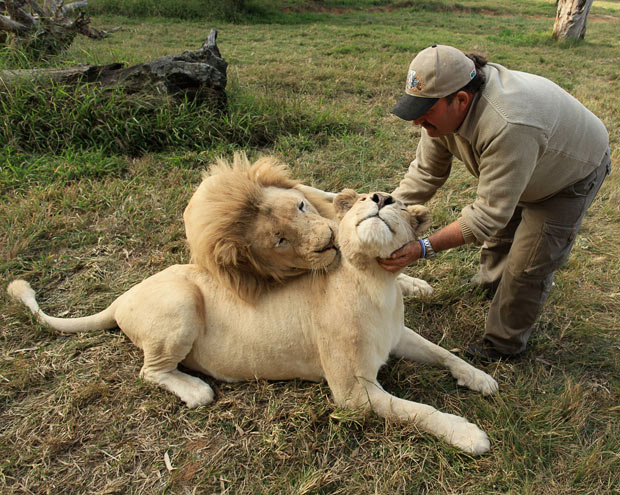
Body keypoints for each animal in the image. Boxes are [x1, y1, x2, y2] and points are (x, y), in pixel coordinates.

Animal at [7, 191, 496, 458]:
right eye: (363, 198)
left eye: (395, 201)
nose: (379, 199)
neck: (377, 282)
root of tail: (120, 297)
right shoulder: (352, 394)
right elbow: (419, 411)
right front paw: (468, 433)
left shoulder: (397, 338)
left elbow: (443, 352)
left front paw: (480, 378)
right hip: (182, 302)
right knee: (150, 370)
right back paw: (196, 390)